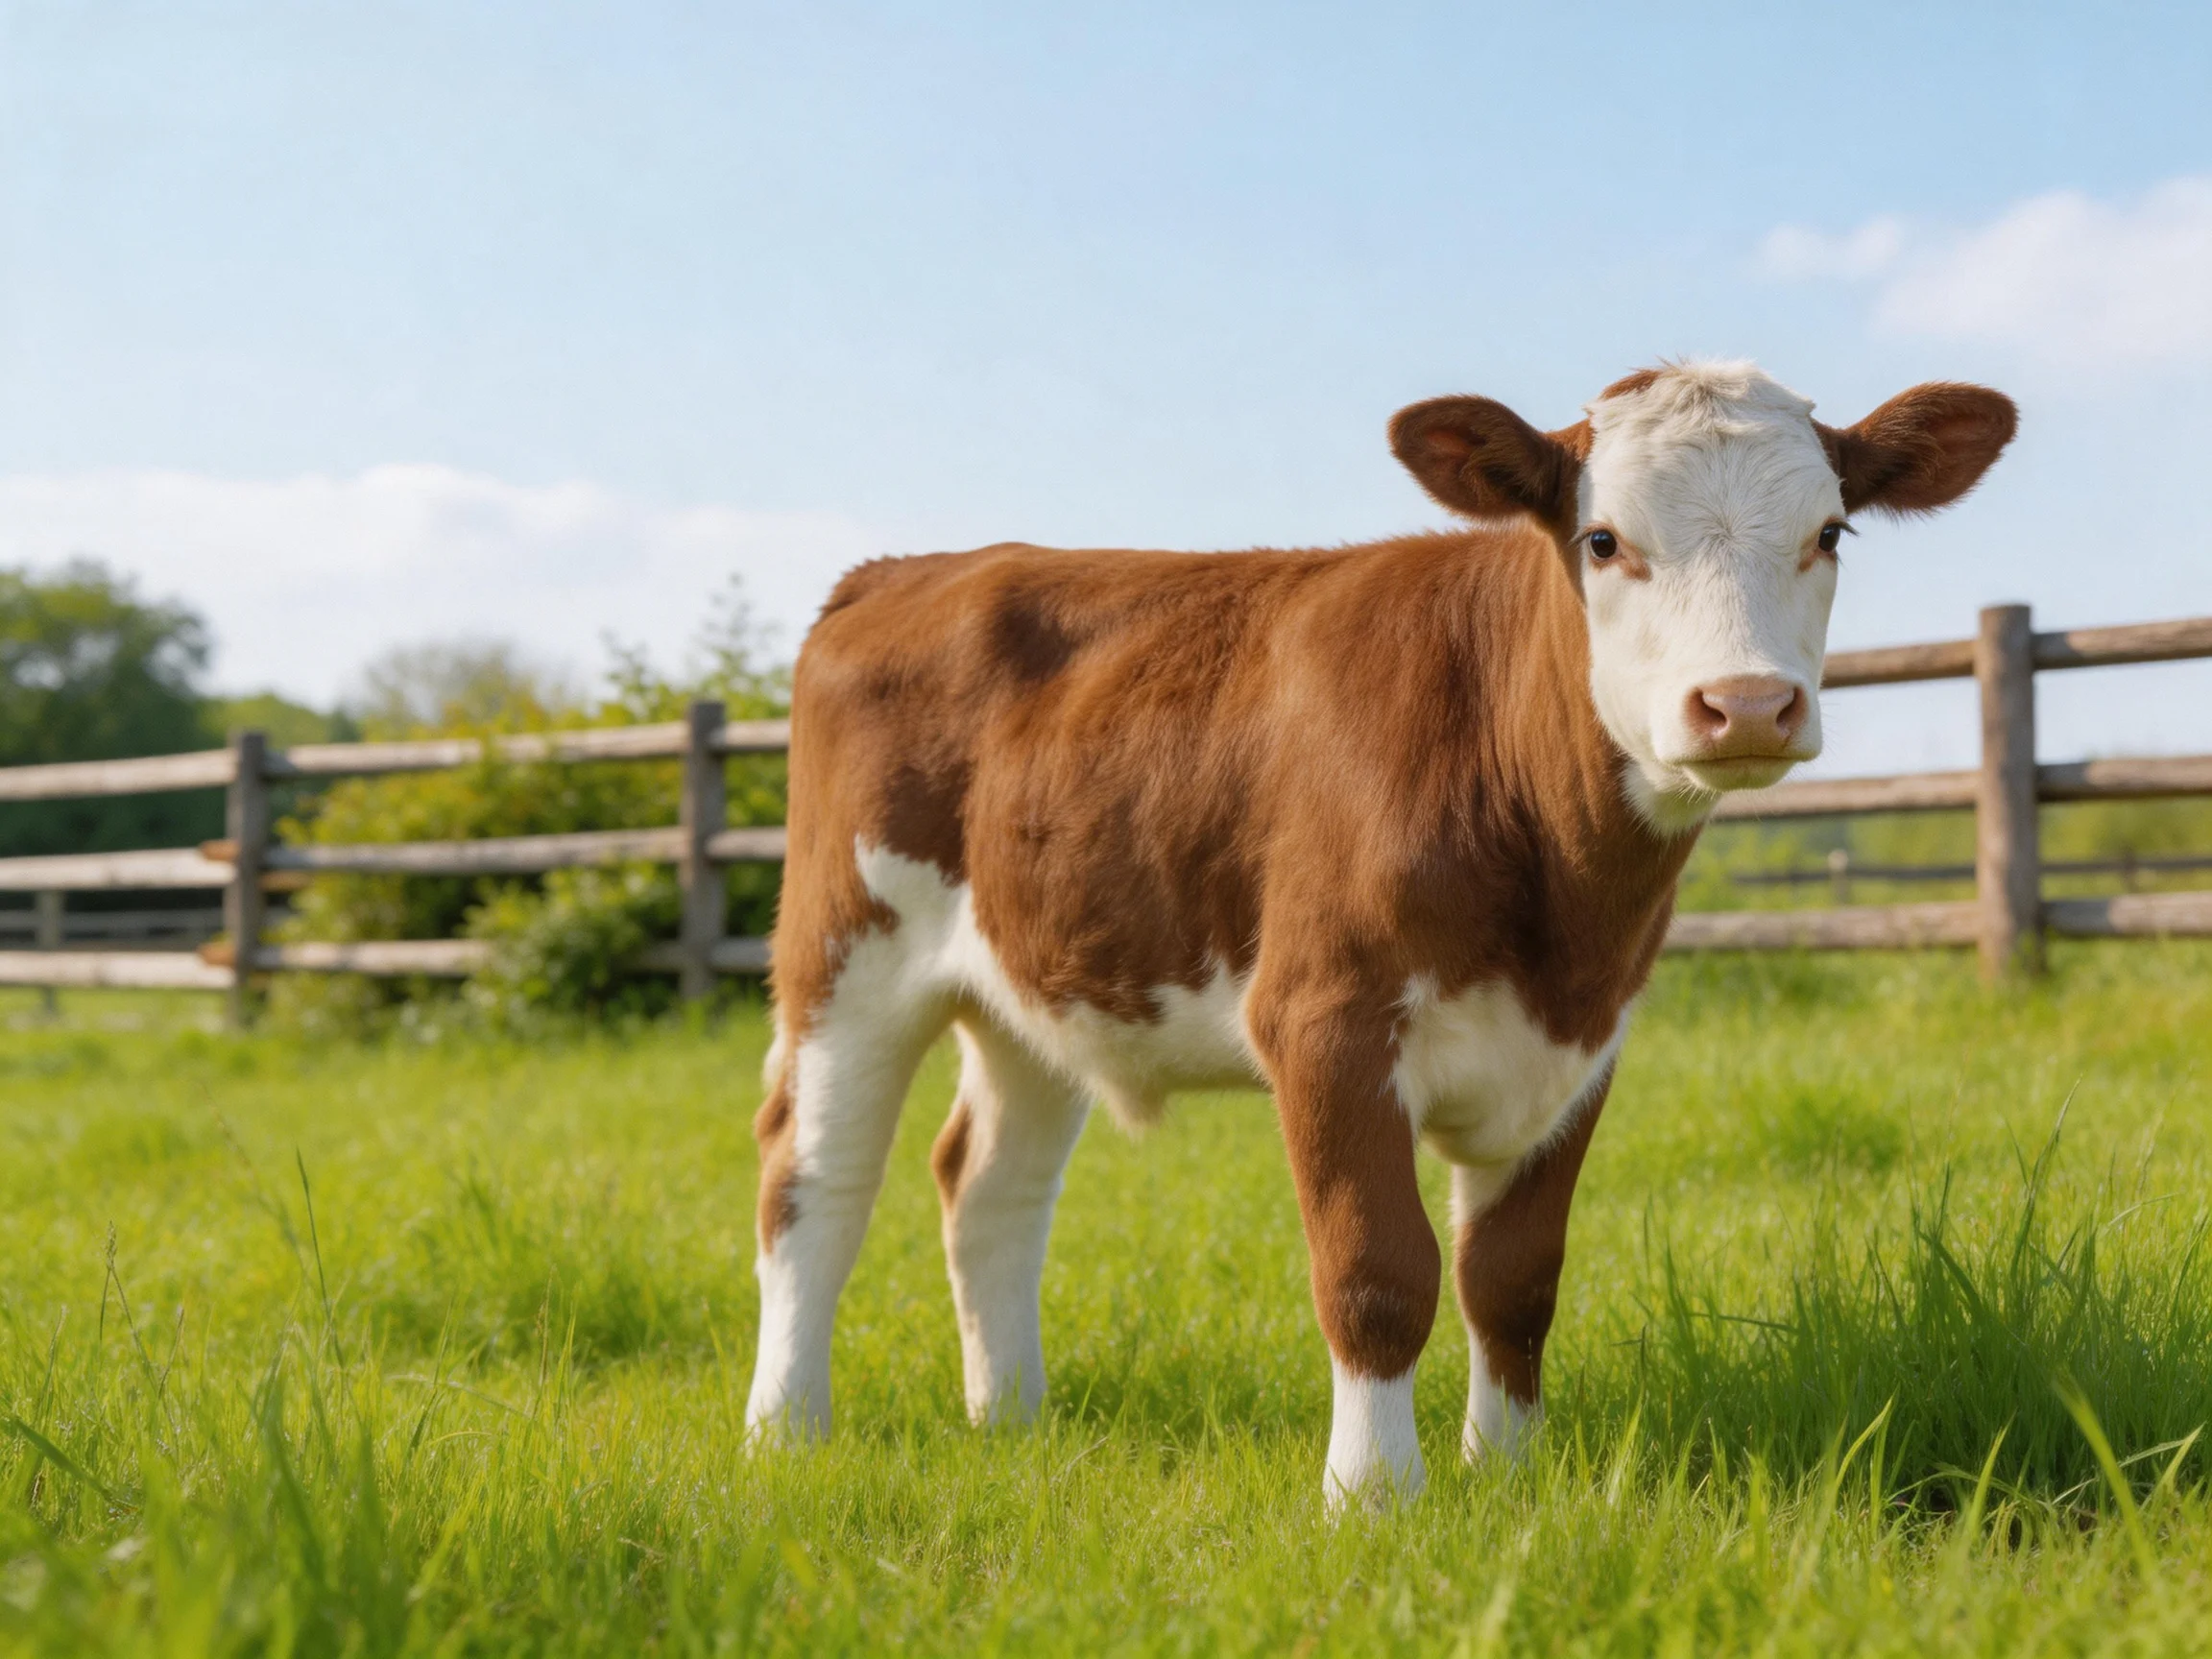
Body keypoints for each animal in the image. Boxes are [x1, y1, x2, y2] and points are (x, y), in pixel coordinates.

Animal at [745, 360, 2016, 1506]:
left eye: (1831, 532)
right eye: (1604, 541)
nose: (1746, 704)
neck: (1558, 900)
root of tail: (909, 569)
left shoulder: (1583, 1039)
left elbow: (1513, 1278)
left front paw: (1506, 1473)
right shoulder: (1325, 1019)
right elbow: (1376, 1270)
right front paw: (1371, 1494)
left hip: (1041, 986)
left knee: (987, 1184)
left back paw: (1010, 1416)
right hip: (844, 957)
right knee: (812, 1180)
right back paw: (785, 1431)